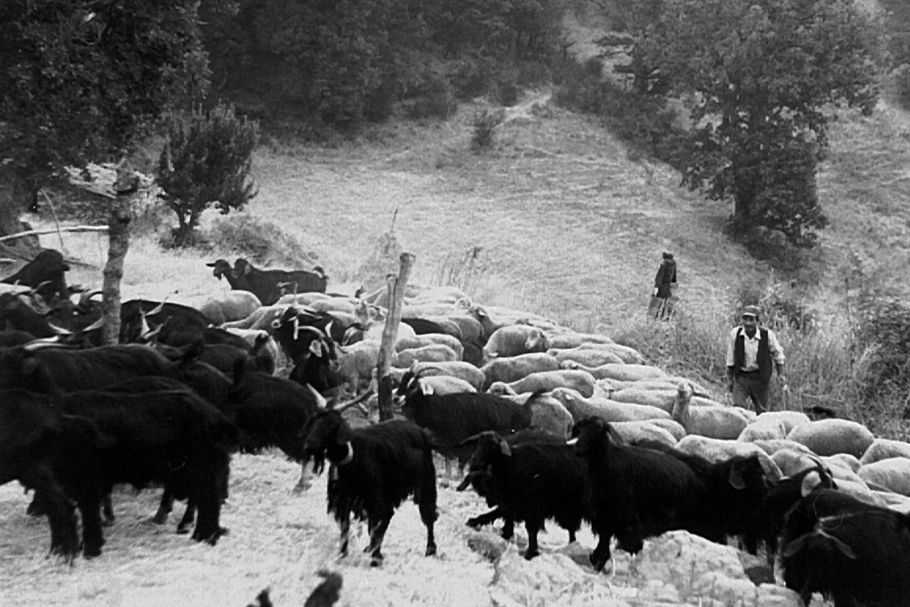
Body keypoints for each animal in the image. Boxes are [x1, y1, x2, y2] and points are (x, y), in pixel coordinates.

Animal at [302, 408, 440, 564]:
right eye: (313, 424)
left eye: (330, 427)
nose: (308, 446)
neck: (353, 457)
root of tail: (422, 432)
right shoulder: (344, 500)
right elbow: (346, 527)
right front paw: (342, 554)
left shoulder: (377, 499)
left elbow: (379, 525)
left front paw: (376, 557)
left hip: (426, 484)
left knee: (429, 517)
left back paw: (430, 549)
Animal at [460, 432, 588, 560]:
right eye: (477, 445)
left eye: (491, 447)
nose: (474, 464)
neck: (510, 465)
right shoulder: (512, 504)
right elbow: (500, 517)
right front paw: (475, 522)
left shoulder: (532, 507)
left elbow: (530, 529)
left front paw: (531, 553)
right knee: (572, 530)